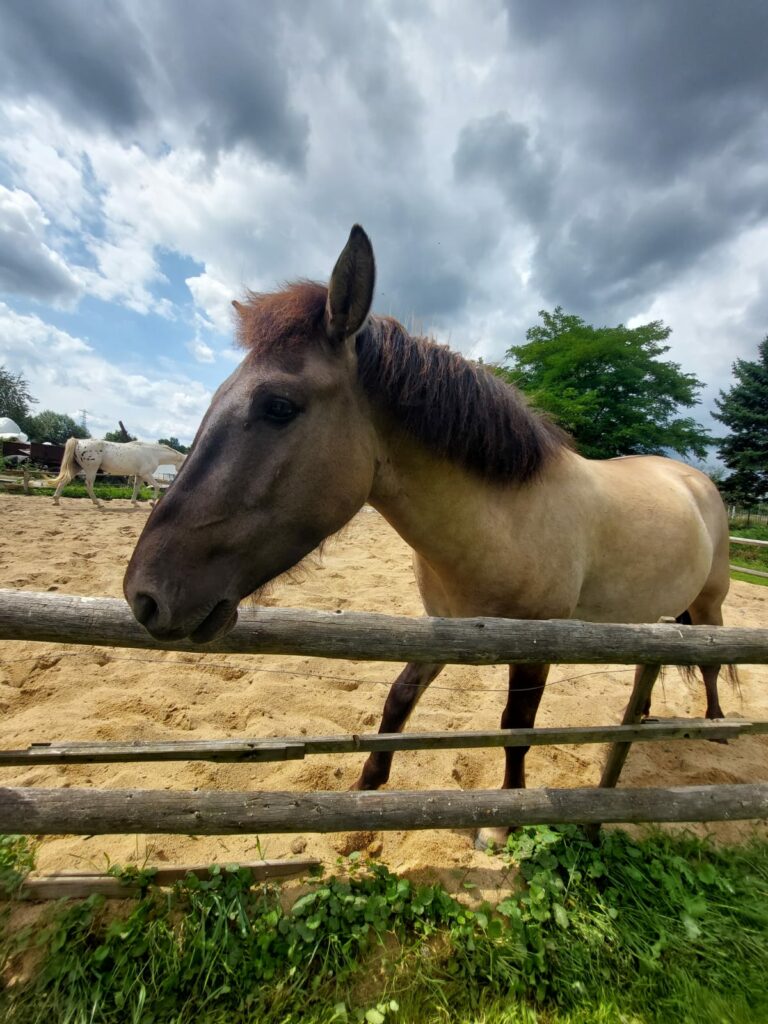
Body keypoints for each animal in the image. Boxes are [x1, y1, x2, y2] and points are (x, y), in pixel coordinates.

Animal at [52, 439, 186, 508]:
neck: (153, 453)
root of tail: (79, 442)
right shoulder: (146, 474)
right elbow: (157, 486)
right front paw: (152, 502)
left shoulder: (139, 475)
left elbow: (136, 488)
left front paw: (134, 503)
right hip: (91, 469)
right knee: (88, 485)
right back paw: (98, 503)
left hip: (76, 468)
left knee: (64, 481)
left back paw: (56, 500)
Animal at [124, 225, 732, 848]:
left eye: (278, 406)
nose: (143, 595)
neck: (502, 521)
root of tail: (691, 477)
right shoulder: (444, 627)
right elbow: (400, 699)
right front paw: (365, 794)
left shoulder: (538, 646)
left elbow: (516, 727)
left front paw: (502, 823)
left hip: (709, 606)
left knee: (714, 663)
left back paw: (717, 725)